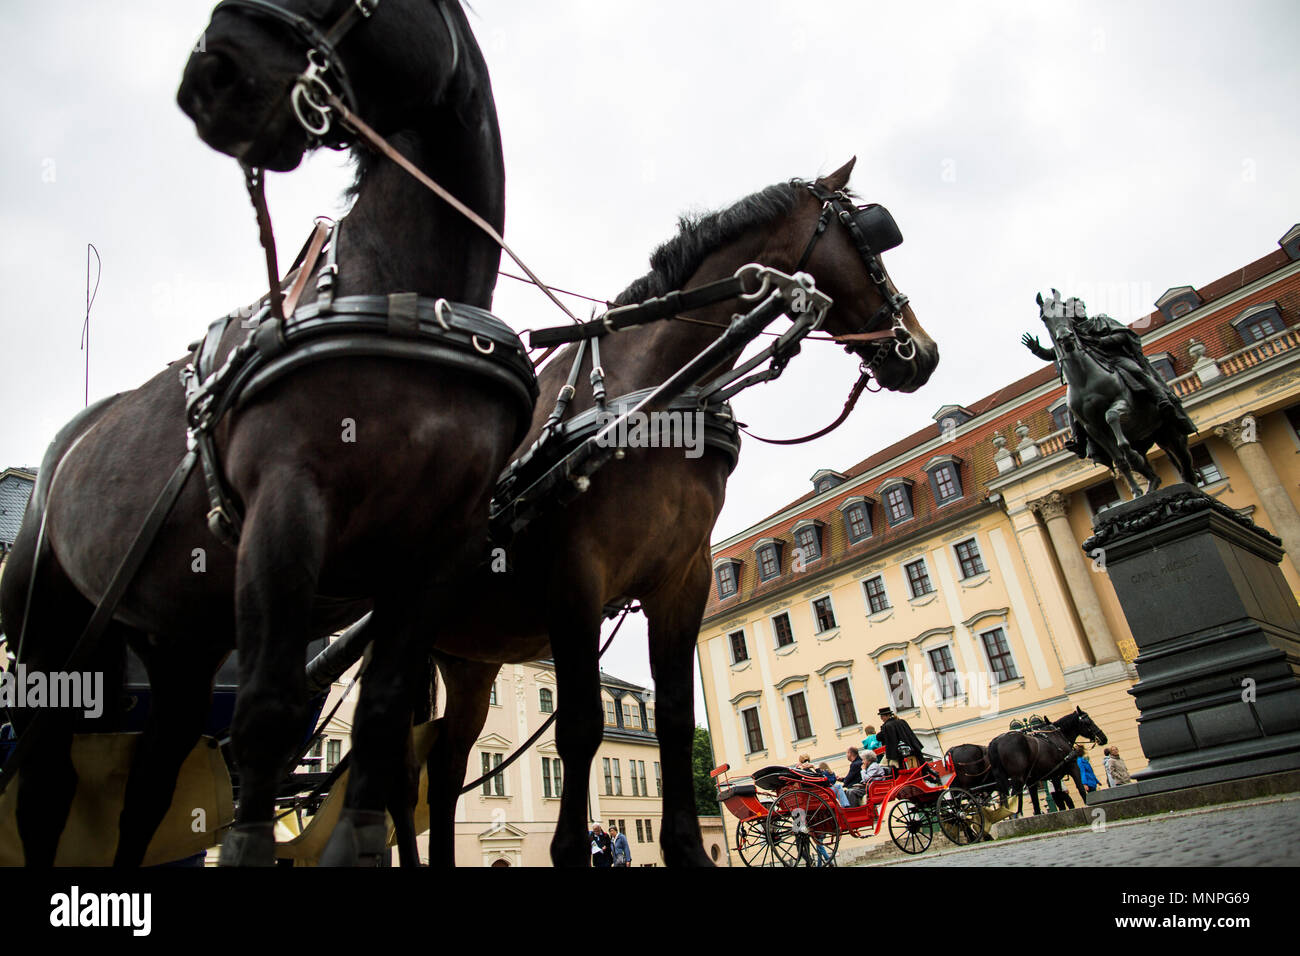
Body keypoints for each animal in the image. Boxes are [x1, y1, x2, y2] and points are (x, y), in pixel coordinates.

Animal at [0, 0, 522, 868]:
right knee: (44, 790)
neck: (406, 299)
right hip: (52, 643)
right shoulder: (287, 510)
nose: (211, 76)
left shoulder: (438, 547)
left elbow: (382, 715)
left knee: (150, 785)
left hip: (179, 641)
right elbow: (268, 720)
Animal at [421, 158, 941, 868]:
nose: (923, 350)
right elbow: (580, 726)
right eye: (872, 238)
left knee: (442, 764)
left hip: (472, 661)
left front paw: (688, 849)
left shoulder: (680, 578)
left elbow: (671, 718)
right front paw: (569, 850)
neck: (651, 398)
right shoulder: (575, 581)